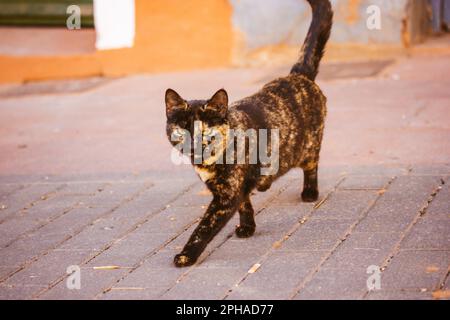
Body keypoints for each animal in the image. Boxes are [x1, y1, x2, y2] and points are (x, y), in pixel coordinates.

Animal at [163, 0, 332, 268]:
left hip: (310, 144)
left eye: (206, 128)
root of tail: (298, 75)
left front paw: (186, 255)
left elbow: (203, 227)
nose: (194, 143)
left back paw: (309, 192)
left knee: (312, 163)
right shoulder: (233, 190)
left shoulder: (226, 195)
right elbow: (244, 205)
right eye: (183, 126)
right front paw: (247, 228)